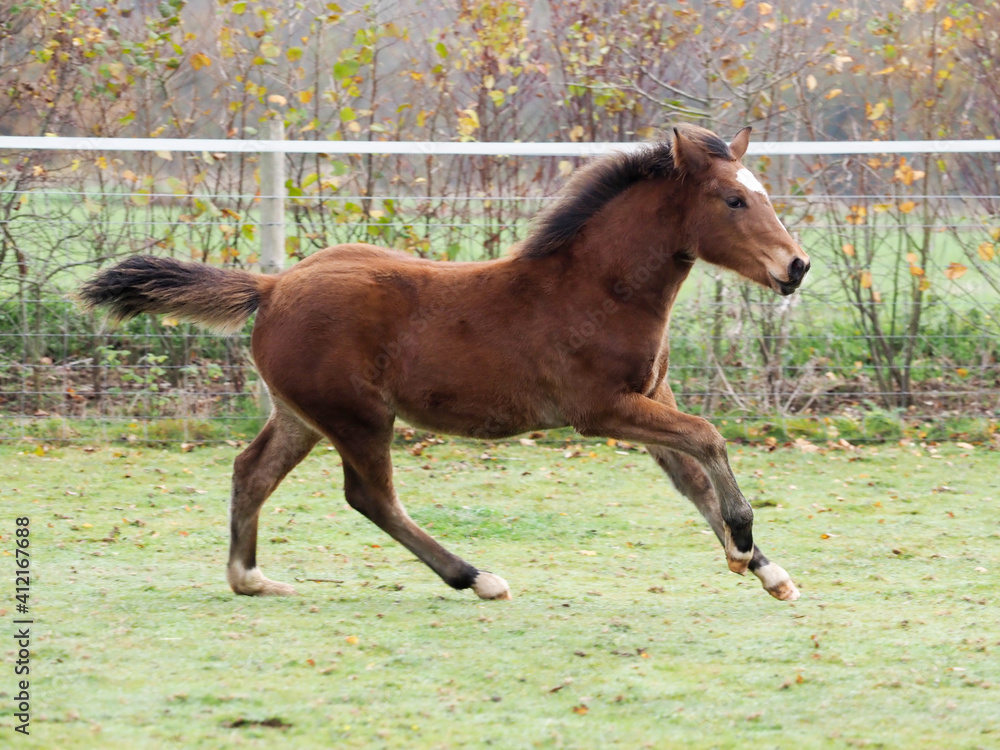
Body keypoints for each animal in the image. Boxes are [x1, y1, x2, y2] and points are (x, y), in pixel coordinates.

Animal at [80, 124, 810, 603]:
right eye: (734, 200)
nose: (796, 266)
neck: (597, 289)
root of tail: (274, 286)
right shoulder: (601, 411)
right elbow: (708, 439)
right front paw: (743, 541)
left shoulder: (647, 400)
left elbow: (693, 478)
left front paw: (765, 568)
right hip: (357, 417)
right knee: (370, 497)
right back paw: (476, 577)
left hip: (302, 414)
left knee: (251, 472)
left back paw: (251, 577)